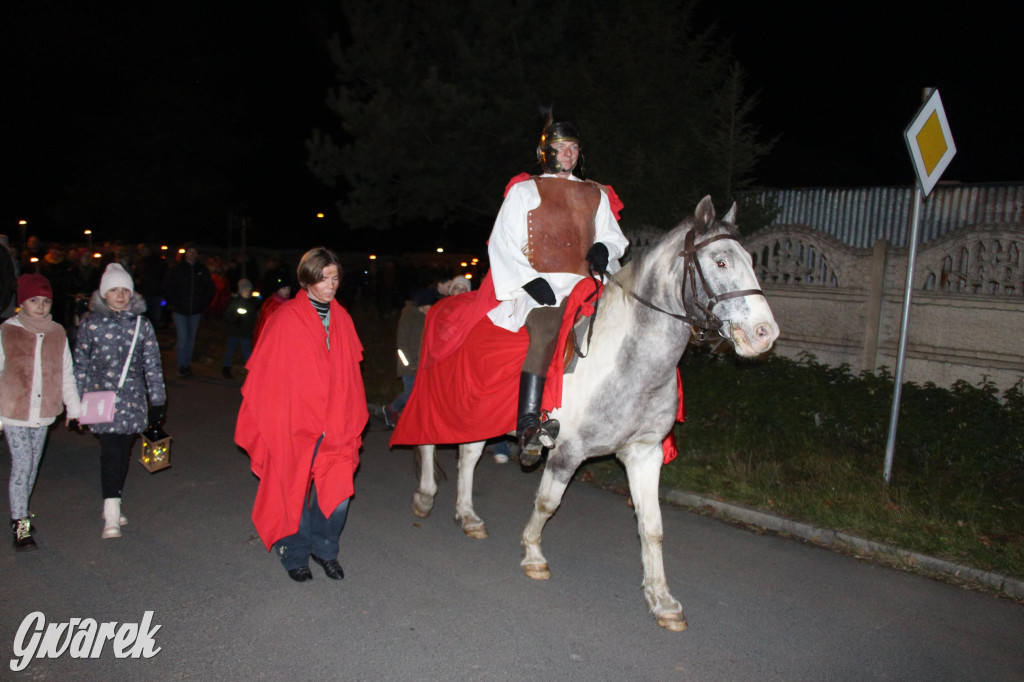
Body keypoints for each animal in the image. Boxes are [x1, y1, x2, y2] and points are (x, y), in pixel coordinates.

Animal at [407, 195, 774, 626]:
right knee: (429, 441)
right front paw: (533, 554)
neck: (628, 361)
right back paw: (425, 497)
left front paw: (662, 600)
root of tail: (446, 301)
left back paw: (468, 516)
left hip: (476, 411)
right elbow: (547, 503)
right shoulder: (569, 451)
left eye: (749, 260)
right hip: (439, 399)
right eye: (719, 262)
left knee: (467, 454)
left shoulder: (645, 454)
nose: (766, 333)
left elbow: (652, 526)